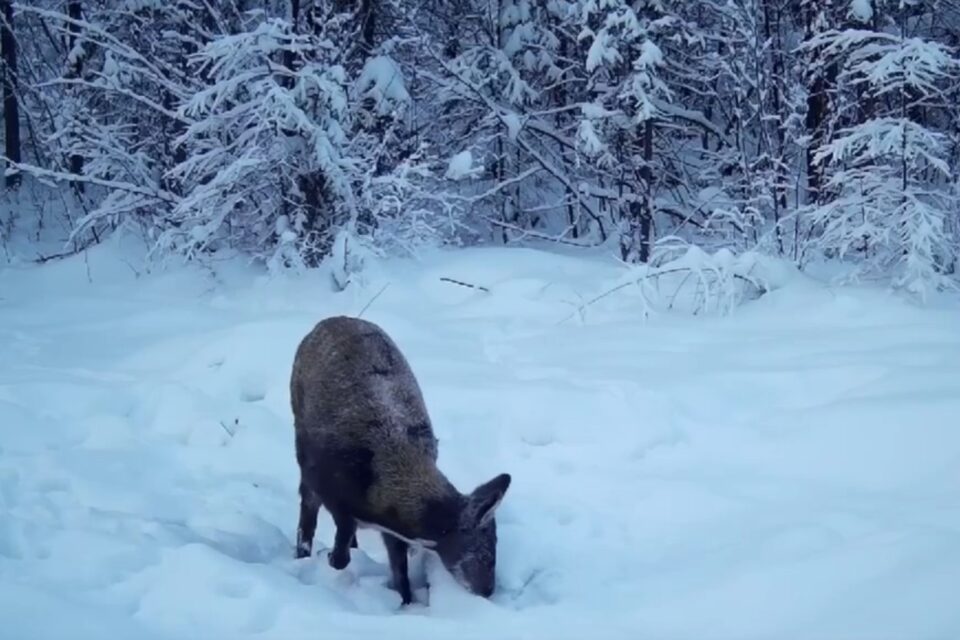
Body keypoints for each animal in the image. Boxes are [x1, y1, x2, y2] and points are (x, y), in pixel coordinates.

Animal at [290, 316, 510, 604]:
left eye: (494, 548)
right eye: (485, 553)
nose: (487, 591)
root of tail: (325, 322)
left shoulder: (391, 532)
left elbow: (399, 569)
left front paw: (405, 601)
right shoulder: (328, 487)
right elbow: (339, 554)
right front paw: (325, 558)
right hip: (300, 433)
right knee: (306, 505)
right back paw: (301, 555)